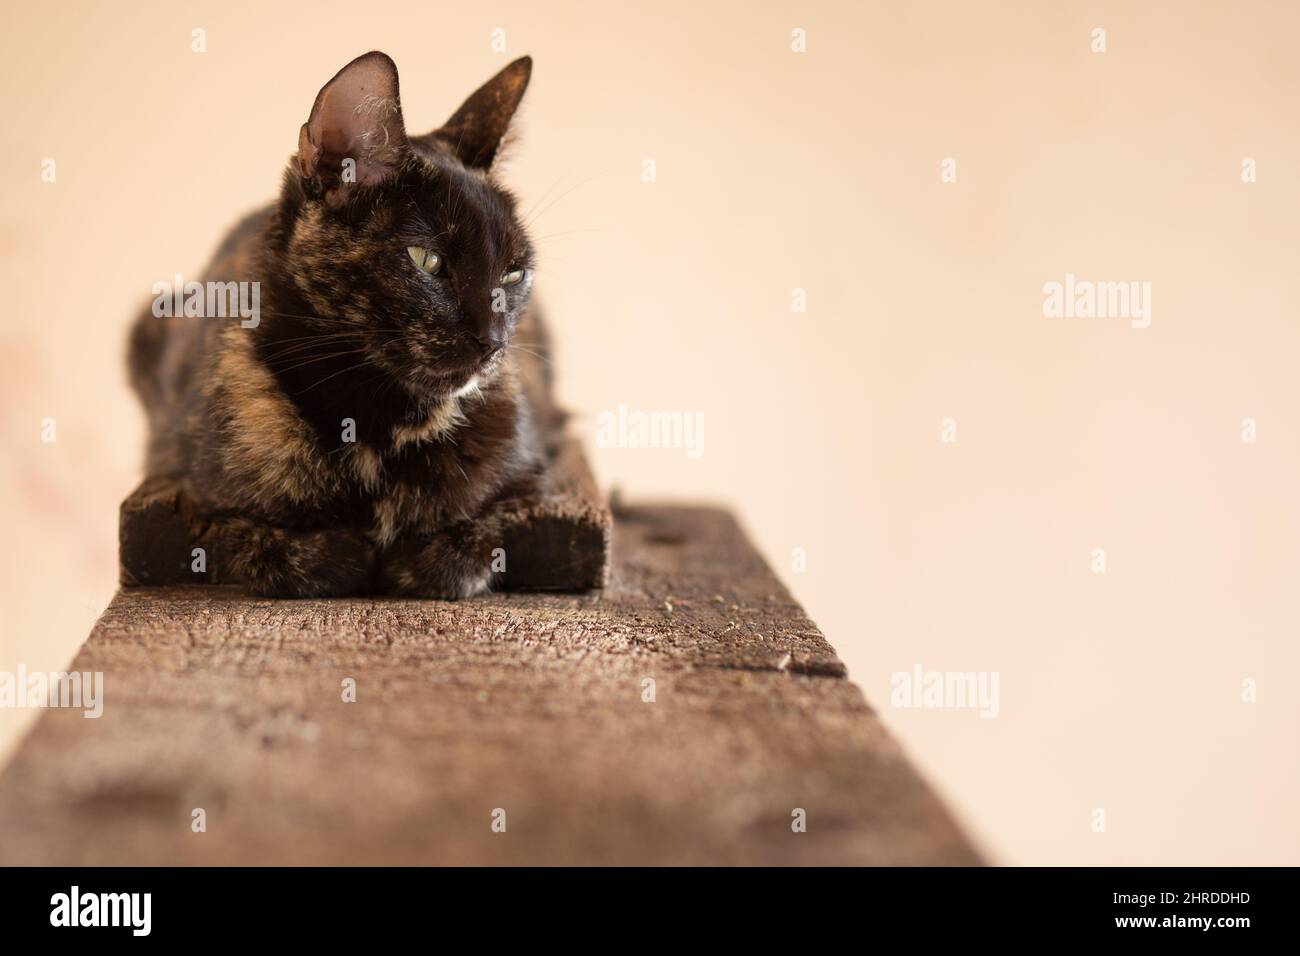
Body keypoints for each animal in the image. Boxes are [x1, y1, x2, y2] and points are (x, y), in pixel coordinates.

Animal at [128, 52, 564, 598]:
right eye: (427, 260)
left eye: (512, 273)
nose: (494, 342)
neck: (376, 417)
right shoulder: (183, 498)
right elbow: (258, 540)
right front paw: (347, 553)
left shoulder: (538, 485)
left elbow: (482, 530)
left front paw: (418, 558)